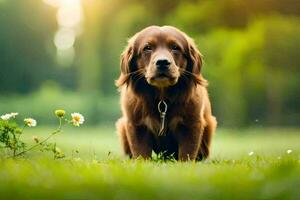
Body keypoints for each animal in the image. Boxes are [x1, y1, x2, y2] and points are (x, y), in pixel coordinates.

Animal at [115, 26, 216, 161]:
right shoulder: (136, 125)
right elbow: (141, 153)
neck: (162, 97)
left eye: (175, 47)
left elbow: (187, 153)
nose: (162, 62)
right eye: (147, 47)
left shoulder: (192, 124)